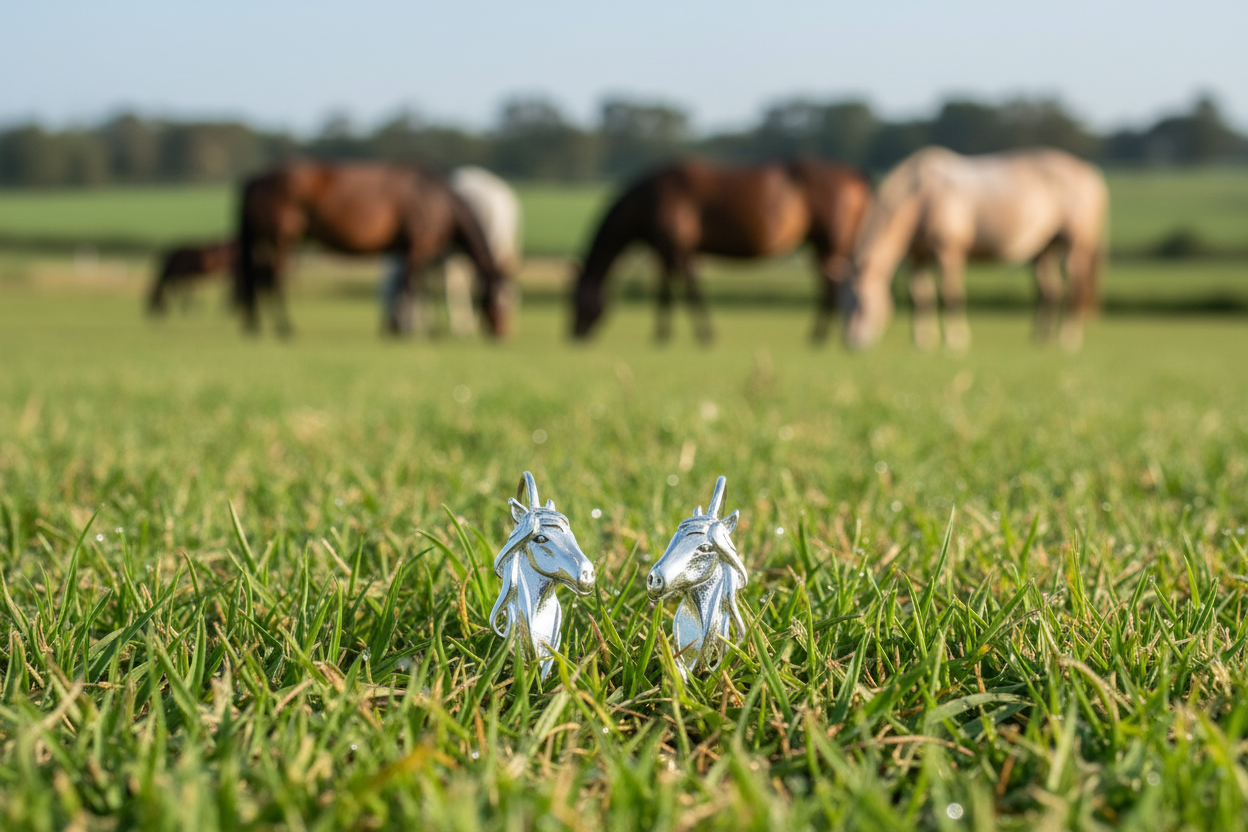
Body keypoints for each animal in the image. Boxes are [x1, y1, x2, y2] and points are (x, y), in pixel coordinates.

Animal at [570, 158, 872, 344]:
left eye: (575, 299)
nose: (572, 336)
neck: (651, 198)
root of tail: (854, 176)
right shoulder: (665, 253)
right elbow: (665, 291)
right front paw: (663, 334)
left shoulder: (680, 251)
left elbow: (691, 290)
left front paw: (703, 335)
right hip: (820, 247)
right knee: (831, 287)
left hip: (832, 244)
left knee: (835, 287)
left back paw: (820, 337)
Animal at [842, 147, 1108, 352]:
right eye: (844, 304)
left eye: (863, 303)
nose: (851, 344)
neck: (923, 195)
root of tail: (1090, 175)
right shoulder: (918, 256)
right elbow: (921, 298)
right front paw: (922, 342)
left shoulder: (948, 252)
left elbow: (951, 295)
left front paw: (955, 341)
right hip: (1045, 249)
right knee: (1051, 291)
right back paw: (1041, 338)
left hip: (1075, 245)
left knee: (1075, 287)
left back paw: (1067, 338)